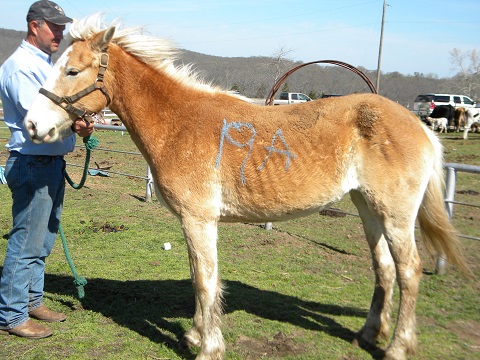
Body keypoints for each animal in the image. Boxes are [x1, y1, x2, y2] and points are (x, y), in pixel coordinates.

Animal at [23, 16, 468, 360]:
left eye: (72, 71)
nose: (31, 125)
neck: (178, 123)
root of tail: (420, 128)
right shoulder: (193, 223)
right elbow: (198, 277)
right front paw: (195, 335)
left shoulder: (199, 220)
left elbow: (206, 281)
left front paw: (208, 347)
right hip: (367, 208)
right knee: (385, 269)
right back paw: (368, 334)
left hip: (395, 215)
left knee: (409, 271)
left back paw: (397, 348)